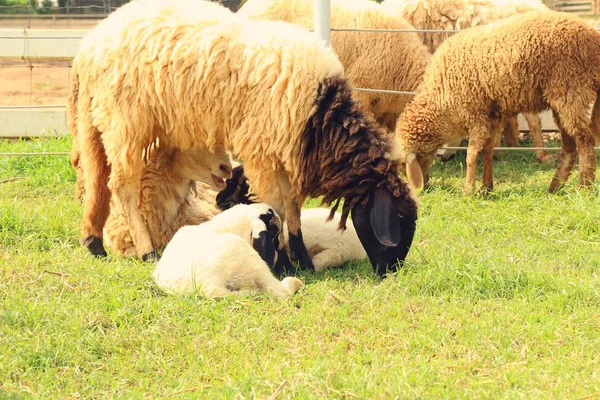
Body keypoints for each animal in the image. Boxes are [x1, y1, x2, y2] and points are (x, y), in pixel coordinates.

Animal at [396, 10, 600, 195]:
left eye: (404, 165)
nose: (424, 188)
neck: (440, 100)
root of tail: (594, 38)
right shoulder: (494, 115)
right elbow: (488, 150)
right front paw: (486, 188)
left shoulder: (476, 116)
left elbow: (471, 154)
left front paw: (468, 191)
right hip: (562, 100)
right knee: (570, 146)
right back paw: (555, 187)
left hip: (571, 90)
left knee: (585, 140)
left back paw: (584, 188)